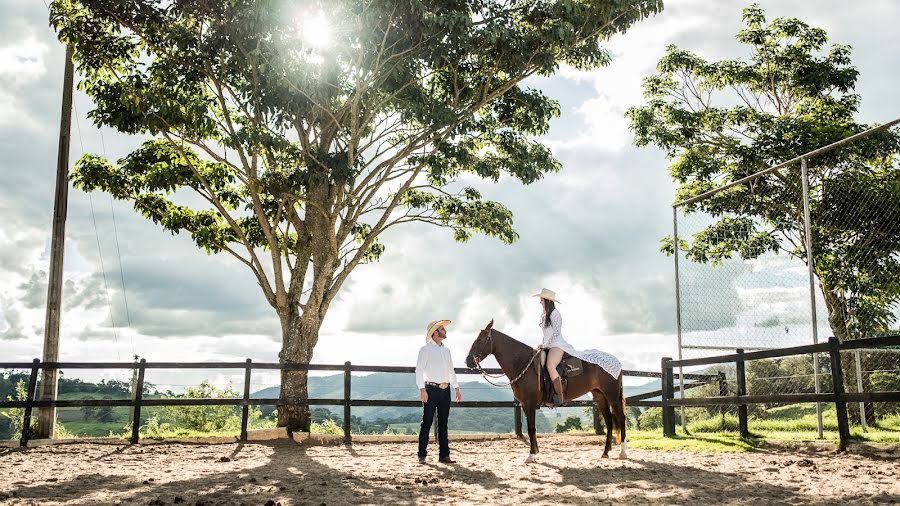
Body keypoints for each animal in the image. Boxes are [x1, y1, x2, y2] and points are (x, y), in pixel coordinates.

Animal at [464, 320, 624, 462]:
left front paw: (531, 455)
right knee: (609, 421)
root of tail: (617, 362)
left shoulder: (529, 404)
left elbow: (531, 429)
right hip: (600, 396)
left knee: (621, 418)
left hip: (612, 395)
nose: (468, 361)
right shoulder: (525, 405)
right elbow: (532, 429)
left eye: (480, 339)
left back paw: (622, 453)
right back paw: (605, 452)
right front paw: (536, 451)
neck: (523, 363)